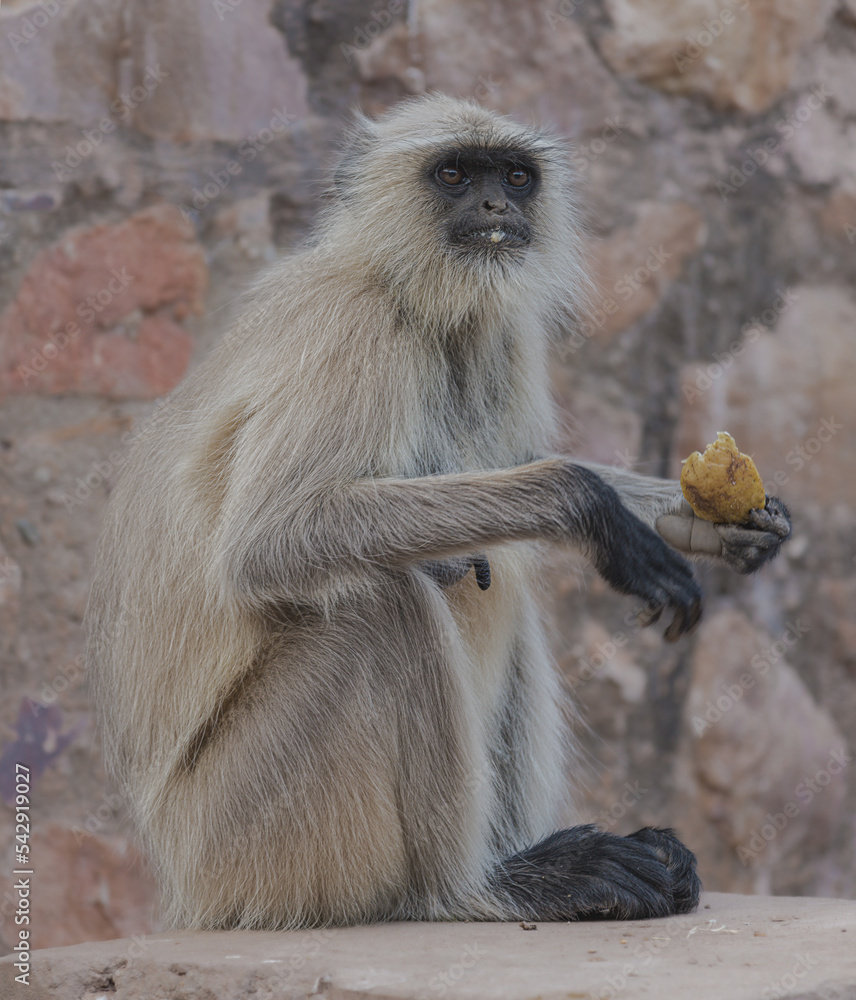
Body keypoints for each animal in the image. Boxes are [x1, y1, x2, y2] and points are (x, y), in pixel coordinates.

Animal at [85, 93, 792, 931]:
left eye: (514, 178)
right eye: (454, 175)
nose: (495, 208)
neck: (405, 289)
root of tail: (185, 887)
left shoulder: (500, 334)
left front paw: (708, 520)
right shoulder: (353, 328)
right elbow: (272, 540)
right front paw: (590, 507)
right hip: (244, 836)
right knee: (382, 600)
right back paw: (481, 887)